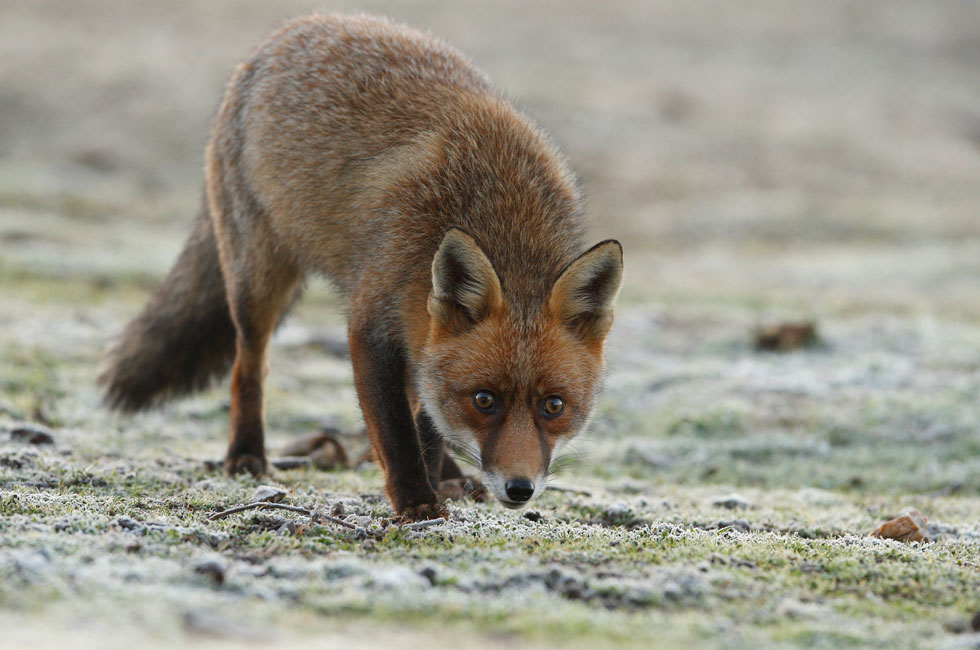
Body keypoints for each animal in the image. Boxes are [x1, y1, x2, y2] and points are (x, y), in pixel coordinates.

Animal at [99, 12, 620, 520]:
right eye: (484, 401)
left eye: (553, 405)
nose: (519, 489)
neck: (501, 215)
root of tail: (295, 26)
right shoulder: (372, 322)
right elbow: (396, 431)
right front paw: (416, 502)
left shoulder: (421, 336)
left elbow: (426, 421)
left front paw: (436, 481)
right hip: (257, 283)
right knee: (249, 368)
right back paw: (246, 454)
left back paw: (450, 475)